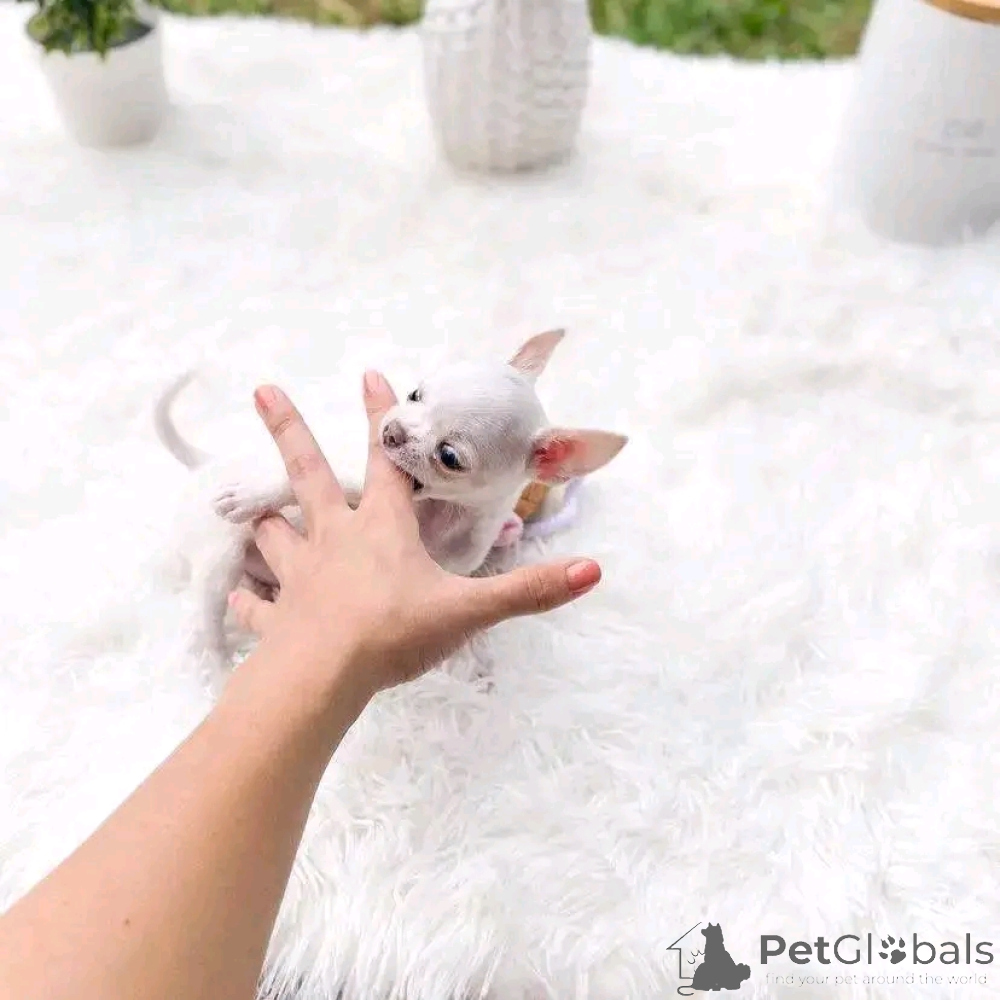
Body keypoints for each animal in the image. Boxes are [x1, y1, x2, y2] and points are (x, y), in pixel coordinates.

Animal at [154, 329, 627, 680]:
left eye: (449, 456)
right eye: (414, 394)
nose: (390, 431)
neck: (436, 514)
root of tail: (202, 463)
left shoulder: (451, 570)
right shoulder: (353, 482)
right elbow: (297, 481)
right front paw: (251, 495)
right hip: (219, 557)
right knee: (204, 627)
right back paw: (219, 671)